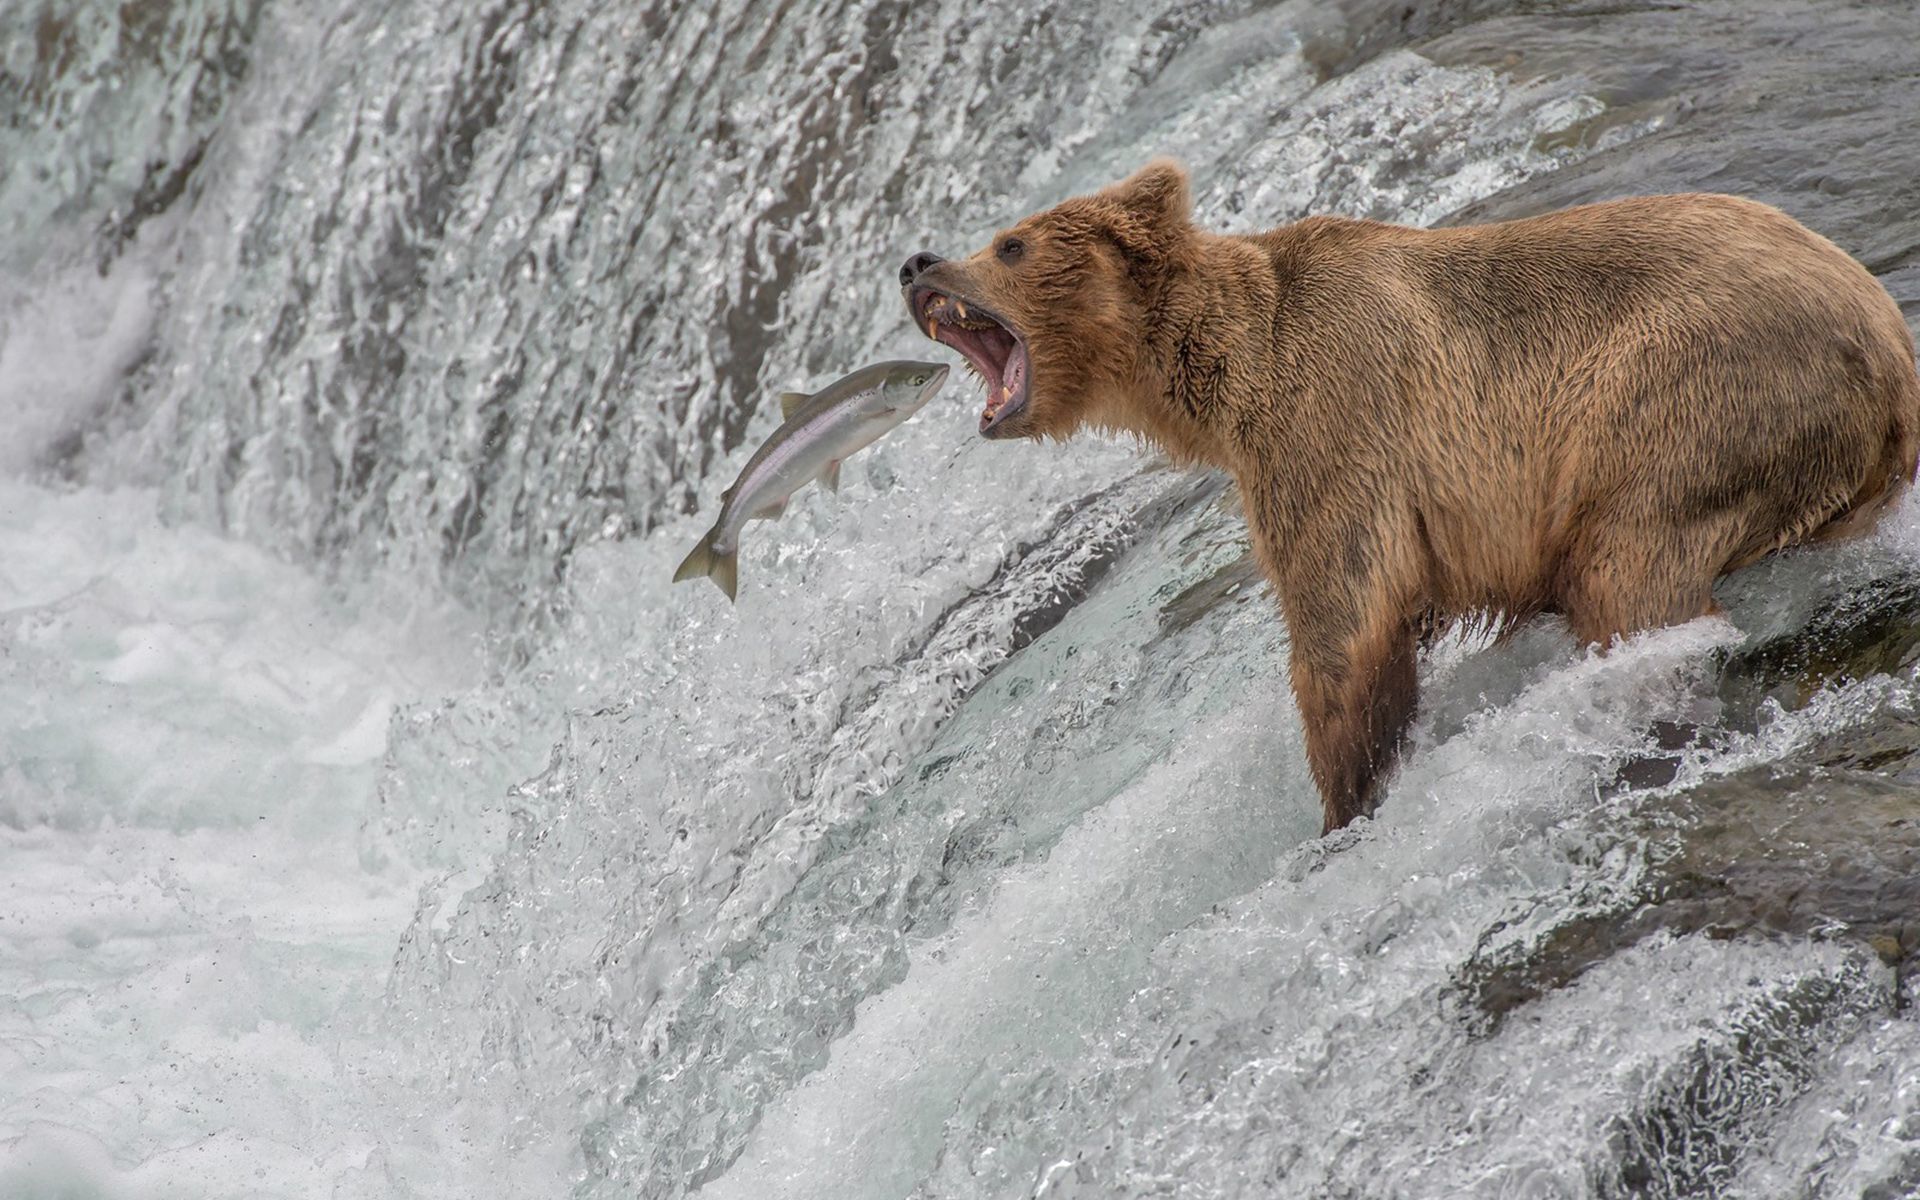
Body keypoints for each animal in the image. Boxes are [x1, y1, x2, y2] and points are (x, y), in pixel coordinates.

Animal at [898, 159, 1920, 833]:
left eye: (1010, 241)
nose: (916, 263)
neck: (1231, 374)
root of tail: (1892, 351)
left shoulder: (1334, 427)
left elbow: (1345, 626)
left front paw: (1345, 802)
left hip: (1694, 392)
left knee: (1627, 568)